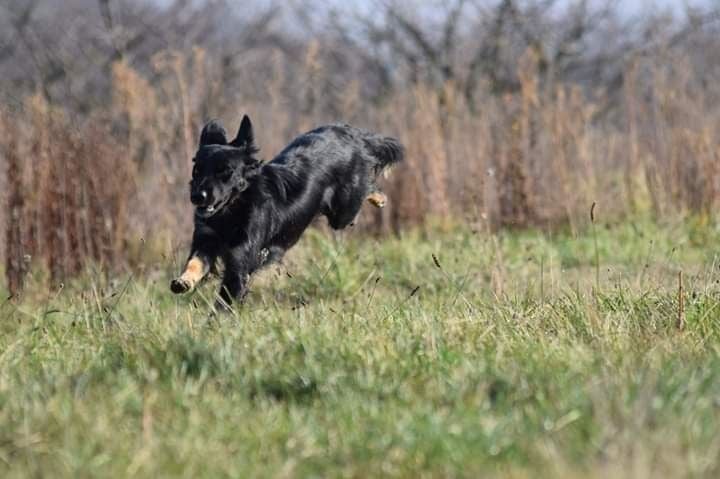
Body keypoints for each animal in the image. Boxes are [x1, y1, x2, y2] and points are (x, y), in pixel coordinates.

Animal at [170, 116, 404, 312]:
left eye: (225, 172)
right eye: (197, 170)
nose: (197, 196)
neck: (231, 212)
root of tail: (351, 133)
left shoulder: (240, 261)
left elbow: (225, 300)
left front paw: (215, 325)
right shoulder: (206, 241)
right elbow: (195, 263)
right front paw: (184, 281)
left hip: (343, 213)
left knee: (367, 187)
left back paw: (379, 197)